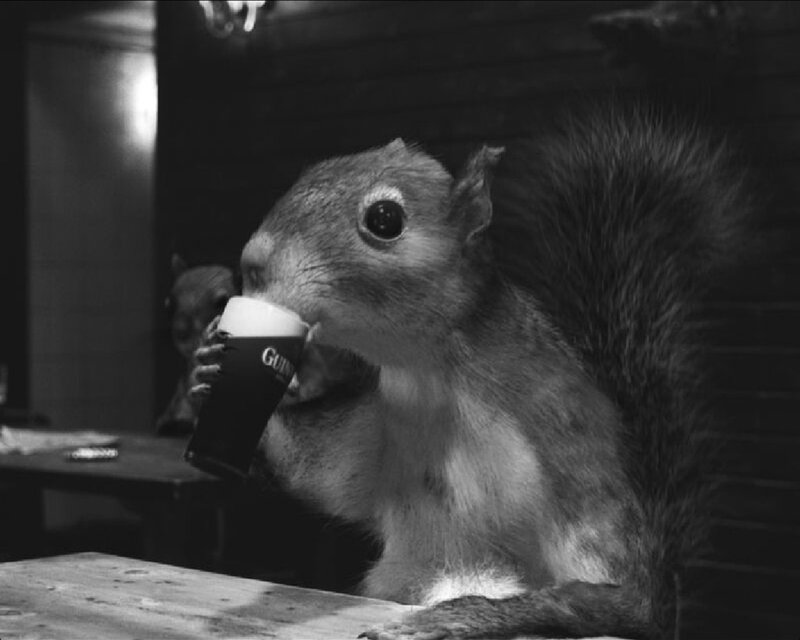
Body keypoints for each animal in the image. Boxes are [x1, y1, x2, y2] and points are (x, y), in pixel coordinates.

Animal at [192, 103, 751, 639]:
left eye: (385, 219)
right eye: (312, 170)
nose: (253, 263)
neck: (426, 381)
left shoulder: (568, 454)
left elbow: (616, 603)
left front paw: (455, 618)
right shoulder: (371, 434)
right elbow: (313, 471)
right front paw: (207, 368)